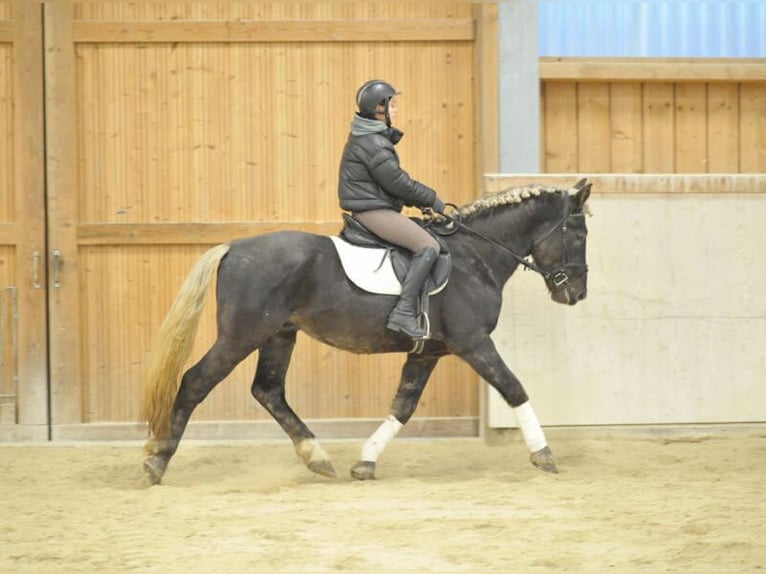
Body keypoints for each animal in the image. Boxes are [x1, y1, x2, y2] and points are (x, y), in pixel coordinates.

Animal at [140, 180, 592, 486]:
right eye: (578, 234)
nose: (577, 294)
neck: (474, 256)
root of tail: (233, 247)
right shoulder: (474, 343)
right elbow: (514, 388)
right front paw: (544, 455)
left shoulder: (428, 352)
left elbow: (403, 406)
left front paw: (366, 462)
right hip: (241, 336)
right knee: (195, 381)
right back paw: (157, 461)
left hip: (279, 334)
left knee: (268, 391)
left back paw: (317, 457)